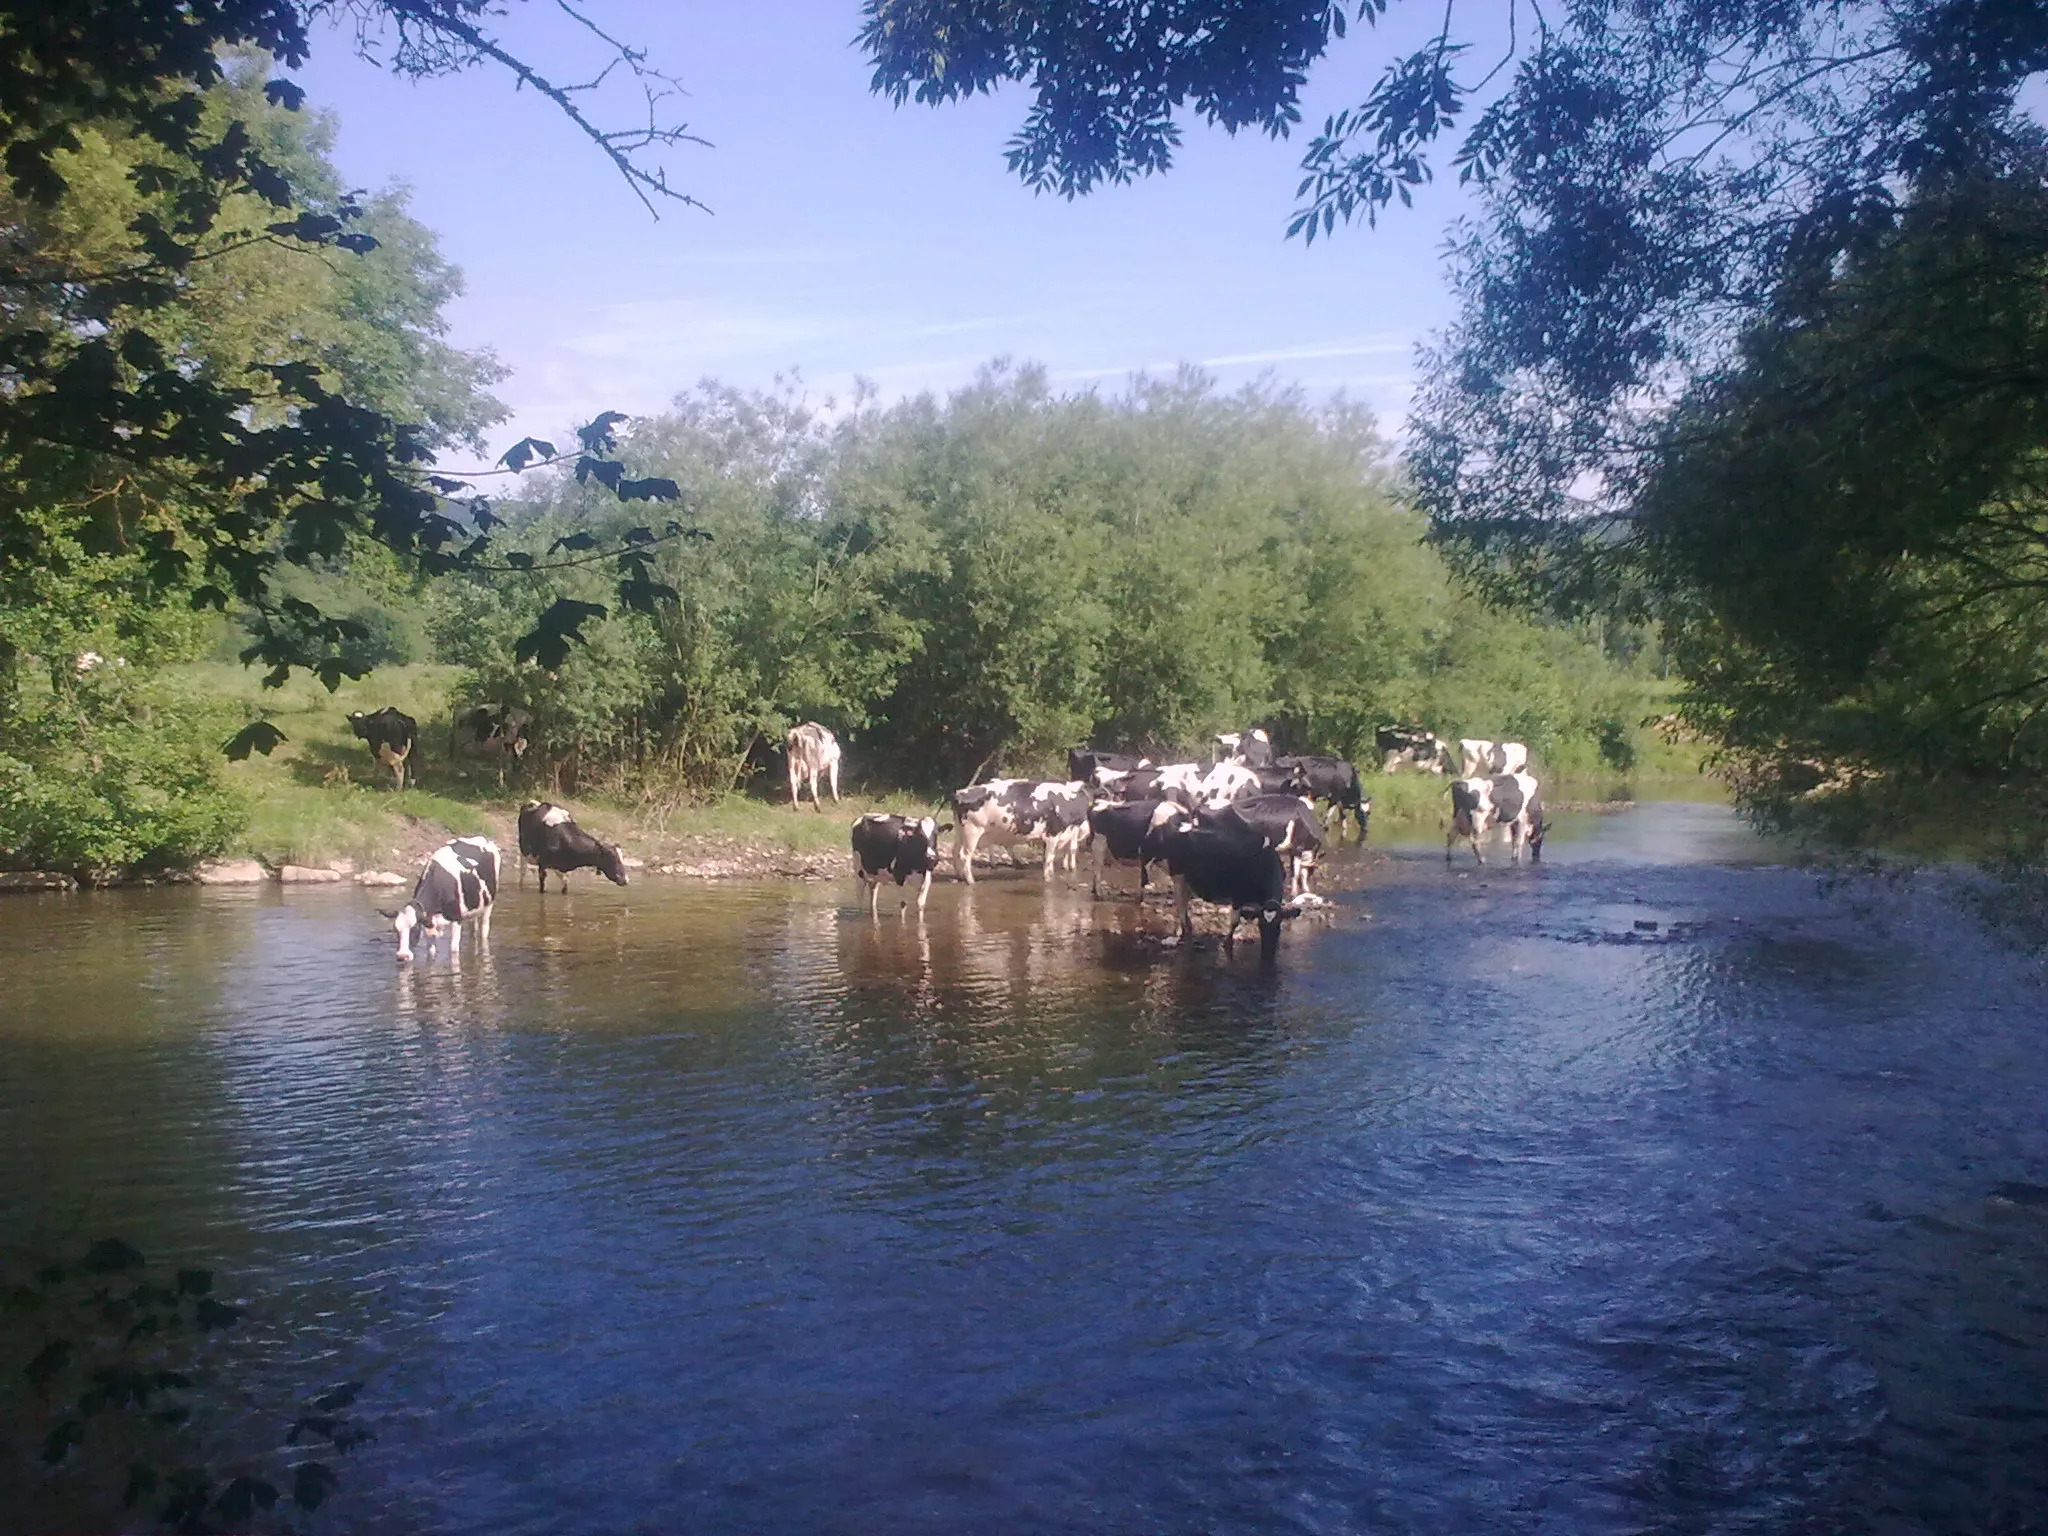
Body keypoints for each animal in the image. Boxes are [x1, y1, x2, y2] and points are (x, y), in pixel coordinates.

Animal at [950, 782, 1097, 888]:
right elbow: (1049, 858)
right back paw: (970, 881)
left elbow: (1050, 858)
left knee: (955, 851)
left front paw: (1051, 875)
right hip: (972, 831)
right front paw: (1048, 879)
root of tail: (960, 793)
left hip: (960, 832)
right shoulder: (1052, 835)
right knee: (965, 855)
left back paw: (960, 876)